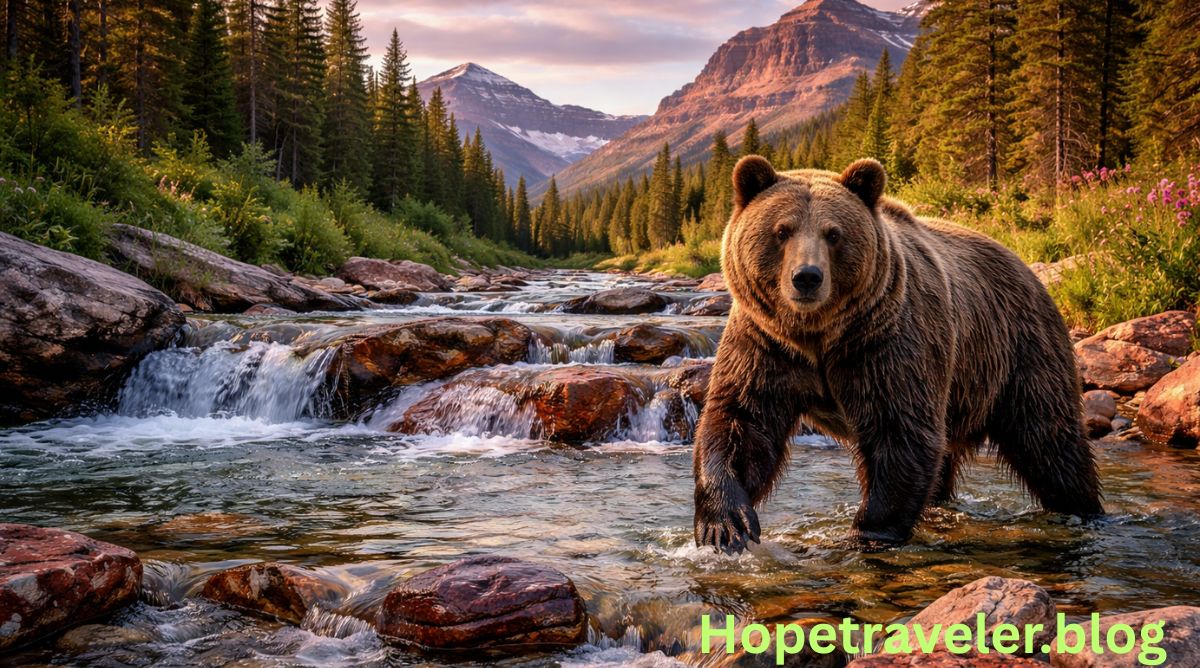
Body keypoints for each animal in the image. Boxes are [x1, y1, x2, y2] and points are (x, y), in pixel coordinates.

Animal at [692, 156, 1103, 554]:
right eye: (782, 231)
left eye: (833, 234)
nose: (807, 277)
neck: (819, 335)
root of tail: (1026, 267)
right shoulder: (766, 344)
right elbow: (742, 422)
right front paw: (726, 524)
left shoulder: (886, 344)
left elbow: (901, 431)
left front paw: (868, 532)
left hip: (1018, 350)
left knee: (1049, 441)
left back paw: (1086, 509)